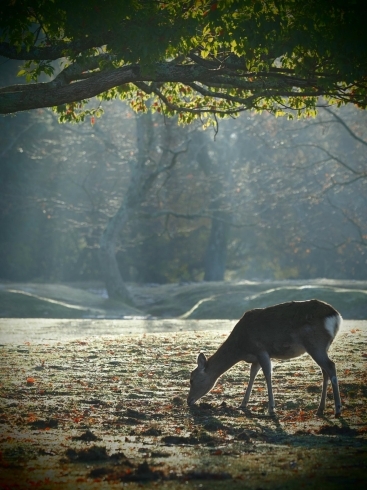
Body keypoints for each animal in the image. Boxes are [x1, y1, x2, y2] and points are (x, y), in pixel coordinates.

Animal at [188, 298, 344, 418]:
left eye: (192, 379)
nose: (188, 400)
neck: (241, 347)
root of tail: (336, 316)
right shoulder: (255, 358)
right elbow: (252, 375)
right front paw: (243, 404)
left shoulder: (261, 350)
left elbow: (267, 374)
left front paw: (271, 409)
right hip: (323, 347)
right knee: (325, 371)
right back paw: (320, 409)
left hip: (315, 344)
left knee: (331, 366)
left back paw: (337, 409)